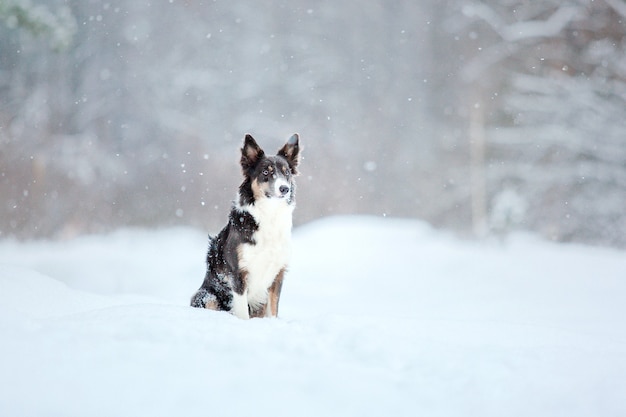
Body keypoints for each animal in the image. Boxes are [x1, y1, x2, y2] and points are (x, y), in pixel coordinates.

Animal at [189, 133, 298, 318]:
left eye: (287, 172)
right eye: (266, 172)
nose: (284, 188)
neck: (269, 214)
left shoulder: (277, 273)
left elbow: (273, 310)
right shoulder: (238, 273)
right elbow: (242, 313)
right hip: (205, 295)